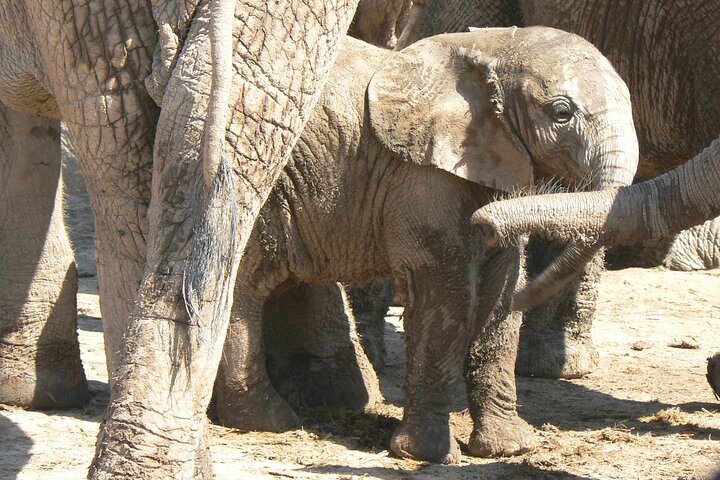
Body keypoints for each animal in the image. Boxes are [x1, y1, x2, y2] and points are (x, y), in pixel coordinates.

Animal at [213, 27, 639, 463]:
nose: (483, 222)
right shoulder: (422, 177)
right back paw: (269, 419)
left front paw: (508, 448)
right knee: (245, 286)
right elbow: (443, 289)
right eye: (561, 113)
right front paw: (427, 454)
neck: (493, 47)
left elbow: (500, 287)